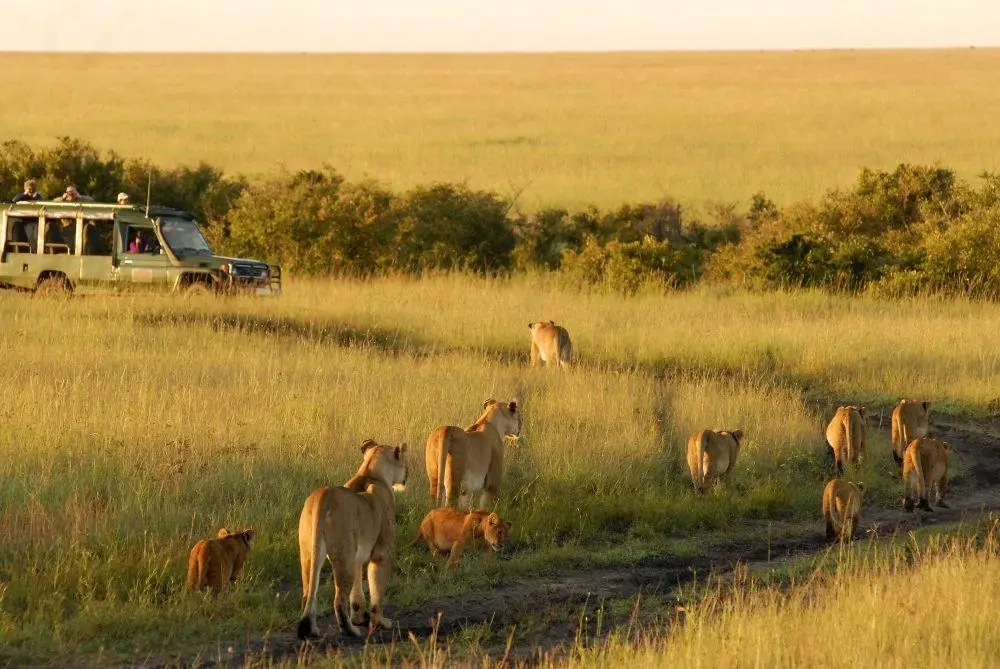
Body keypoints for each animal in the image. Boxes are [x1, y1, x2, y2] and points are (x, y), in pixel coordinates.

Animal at [296, 439, 409, 640]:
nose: (407, 475)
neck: (370, 473)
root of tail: (324, 496)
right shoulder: (382, 552)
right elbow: (377, 587)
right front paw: (379, 622)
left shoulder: (357, 555)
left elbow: (357, 593)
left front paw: (360, 617)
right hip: (344, 554)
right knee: (339, 600)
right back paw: (351, 631)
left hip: (309, 550)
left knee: (308, 592)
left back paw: (314, 629)